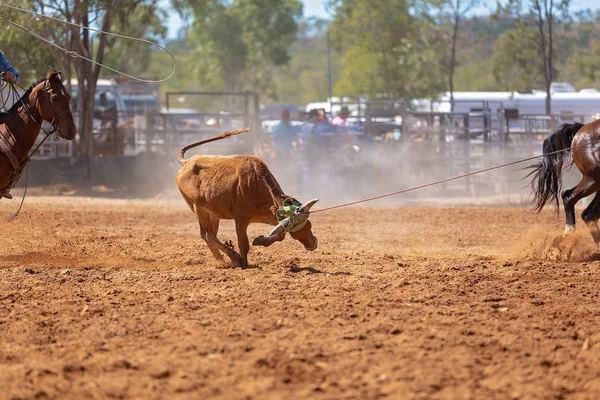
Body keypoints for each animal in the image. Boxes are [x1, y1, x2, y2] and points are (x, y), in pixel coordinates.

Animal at [176, 130, 318, 268]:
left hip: (213, 213)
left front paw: (260, 240)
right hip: (198, 208)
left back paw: (222, 261)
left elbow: (280, 235)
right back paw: (234, 258)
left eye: (309, 224)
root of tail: (188, 162)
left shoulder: (274, 217)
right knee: (207, 235)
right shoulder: (240, 220)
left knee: (210, 235)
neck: (256, 185)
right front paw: (244, 264)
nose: (313, 244)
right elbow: (243, 244)